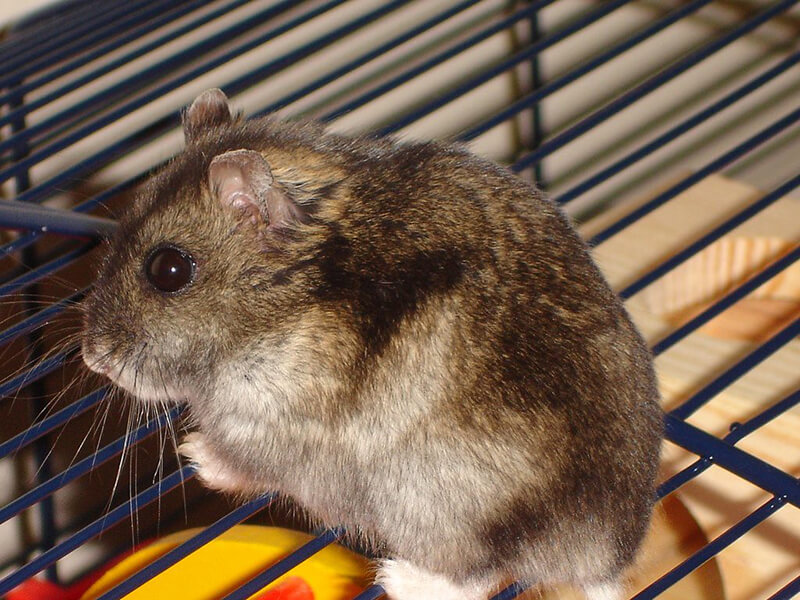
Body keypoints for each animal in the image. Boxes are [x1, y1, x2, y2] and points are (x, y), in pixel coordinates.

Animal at [81, 89, 663, 600]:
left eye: (168, 270)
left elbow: (245, 463)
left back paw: (396, 577)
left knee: (480, 573)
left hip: (431, 507)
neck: (283, 302)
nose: (93, 358)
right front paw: (190, 448)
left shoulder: (262, 427)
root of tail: (601, 561)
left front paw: (194, 452)